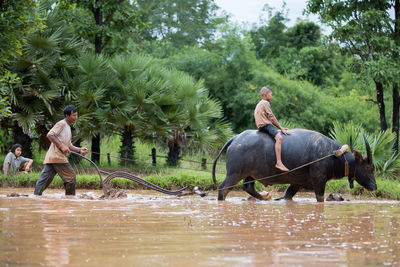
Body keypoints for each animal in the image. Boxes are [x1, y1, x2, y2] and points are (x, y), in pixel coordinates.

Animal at [212, 129, 378, 202]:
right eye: (370, 167)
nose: (375, 186)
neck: (332, 155)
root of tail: (235, 139)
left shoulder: (296, 183)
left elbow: (287, 196)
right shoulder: (319, 182)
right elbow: (320, 198)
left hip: (250, 175)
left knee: (248, 187)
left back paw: (263, 198)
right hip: (234, 173)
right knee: (223, 188)